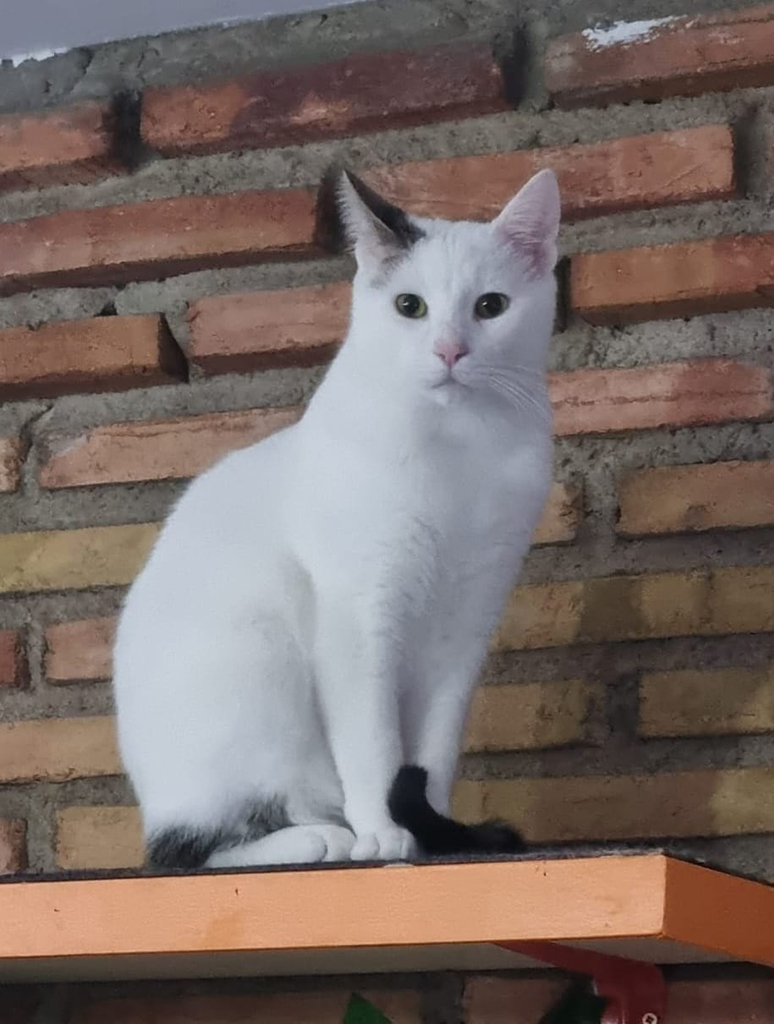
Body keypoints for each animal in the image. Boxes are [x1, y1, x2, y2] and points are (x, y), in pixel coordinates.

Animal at [112, 165, 560, 870]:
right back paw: (321, 836)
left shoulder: (465, 626)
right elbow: (372, 739)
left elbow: (432, 751)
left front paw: (431, 829)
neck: (460, 446)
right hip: (257, 665)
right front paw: (383, 831)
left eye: (491, 307)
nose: (450, 350)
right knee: (184, 852)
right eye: (409, 306)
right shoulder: (359, 610)